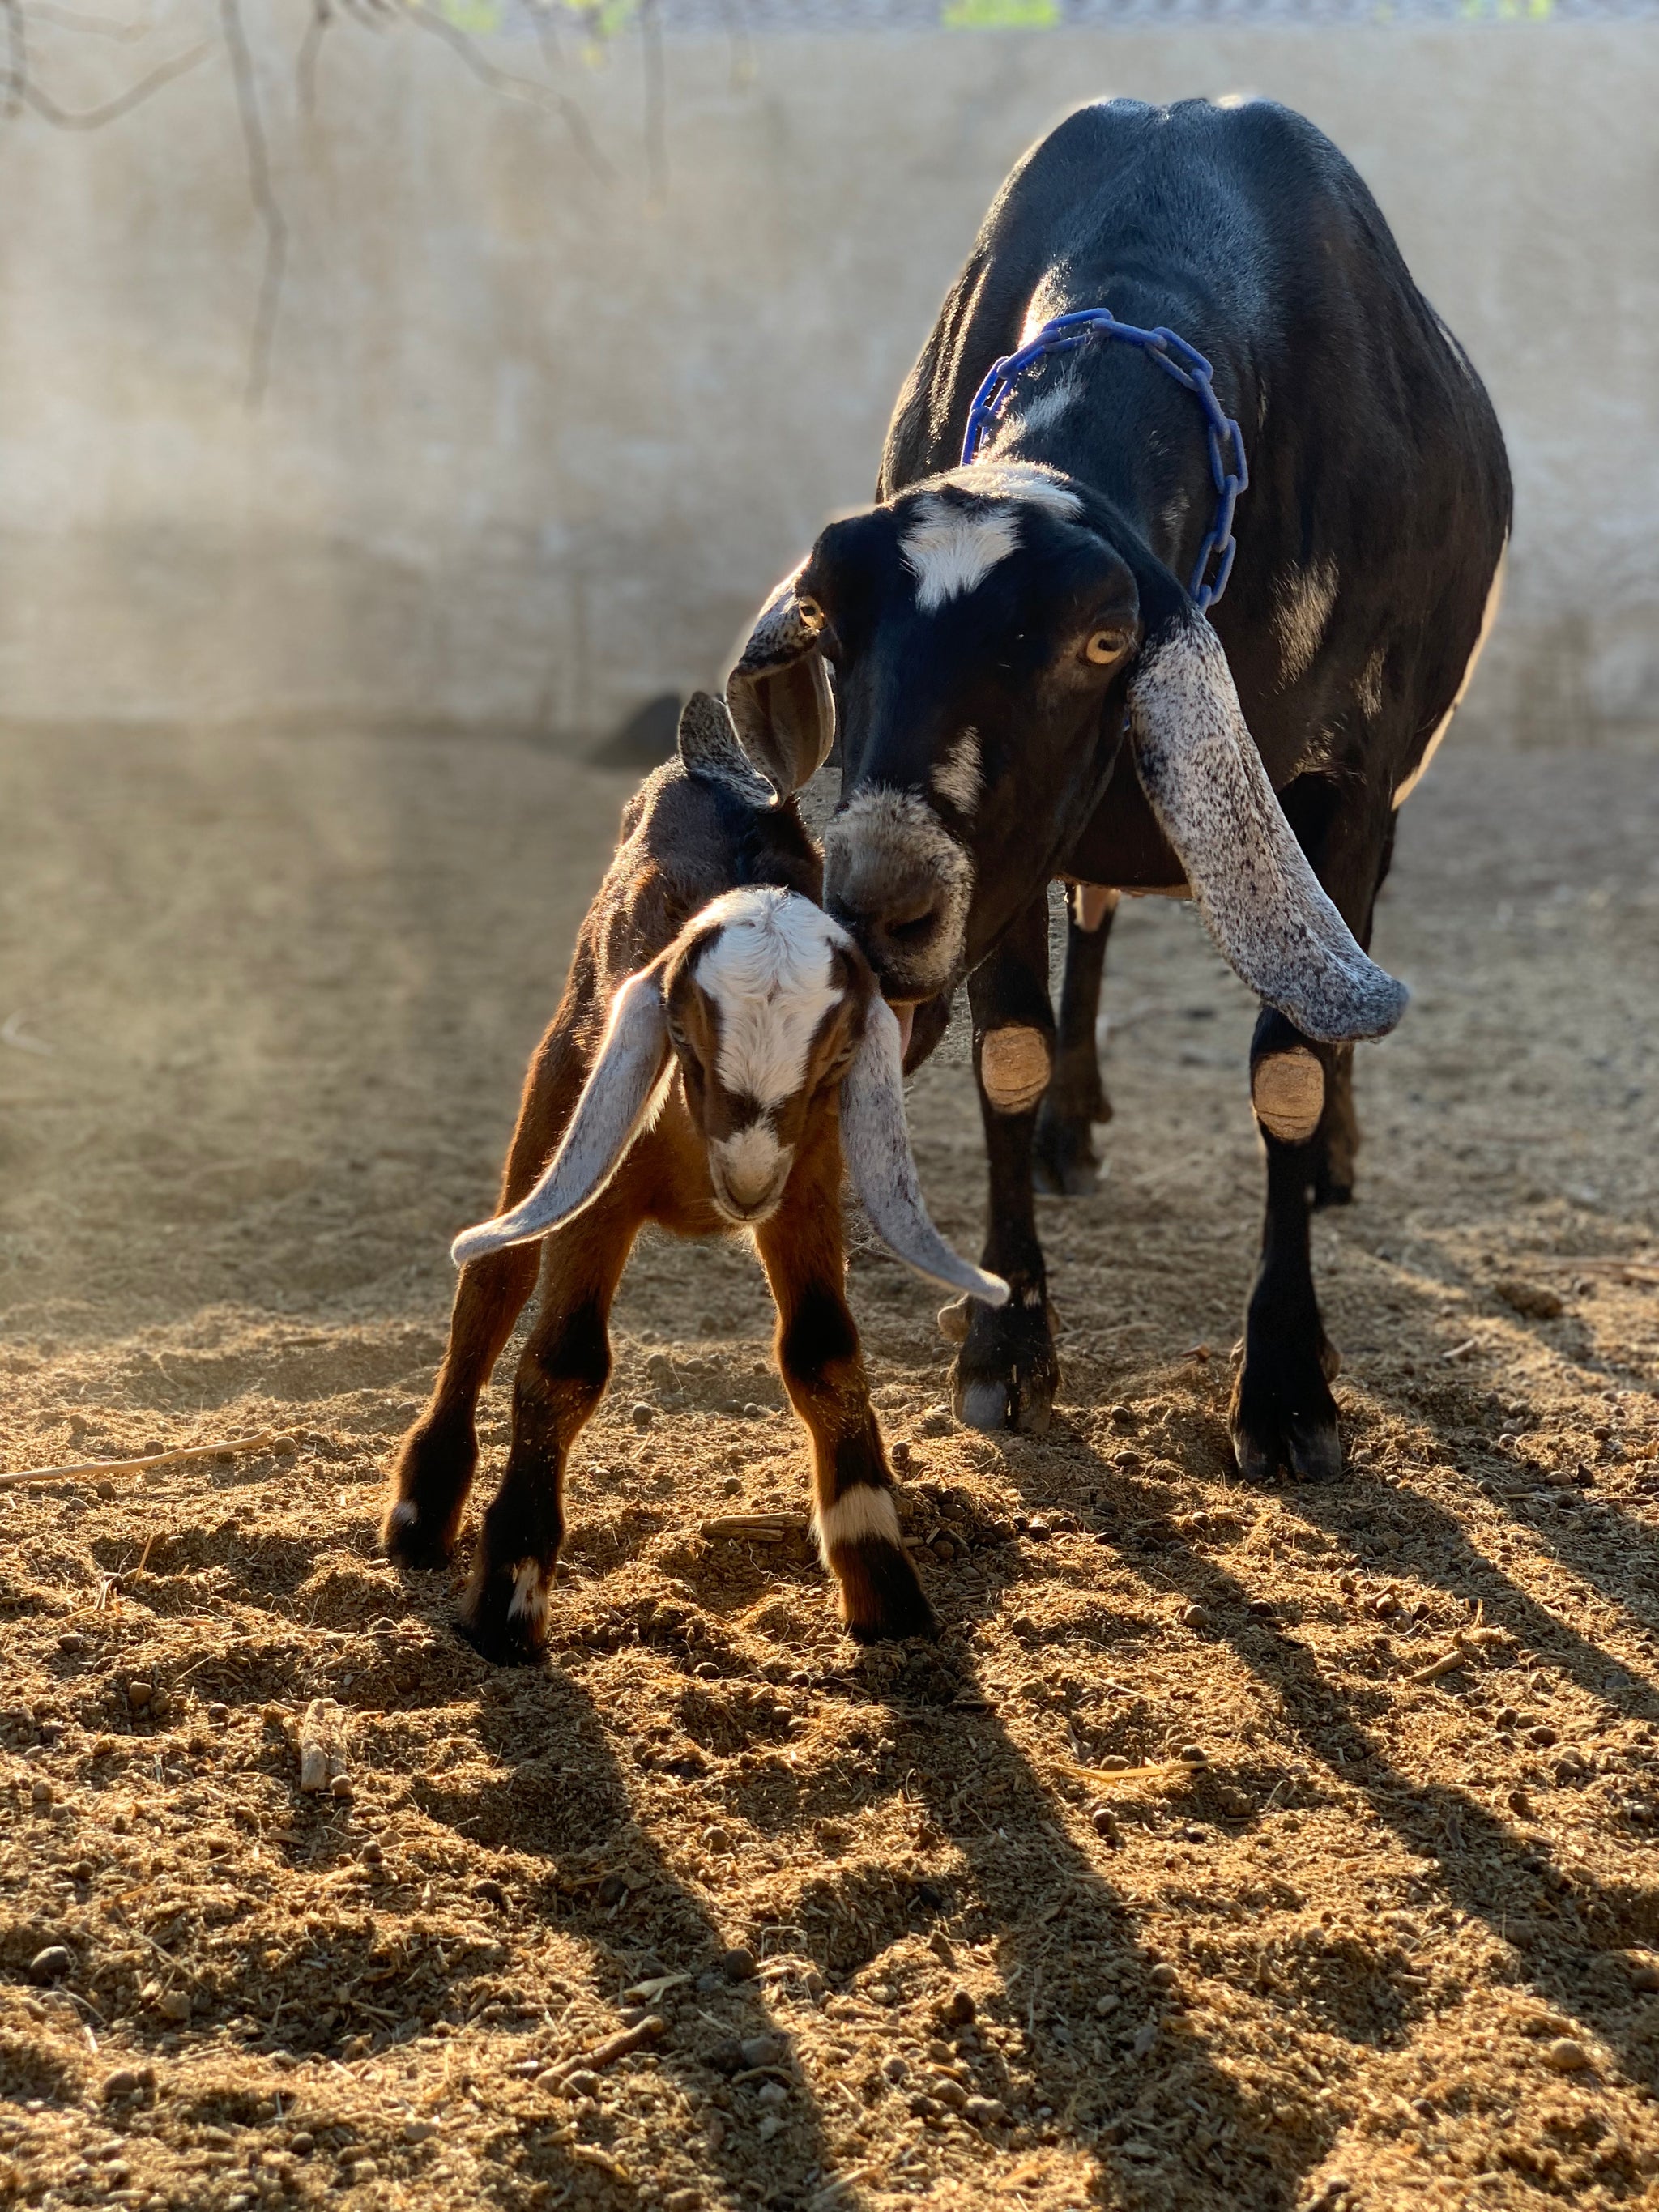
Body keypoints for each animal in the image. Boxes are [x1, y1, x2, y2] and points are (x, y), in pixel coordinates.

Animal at [382, 692, 1005, 1660]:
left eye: (836, 1057)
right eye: (684, 1037)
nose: (742, 1186)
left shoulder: (807, 1178)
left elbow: (824, 1354)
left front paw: (883, 1580)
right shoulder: (603, 1182)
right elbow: (563, 1361)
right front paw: (509, 1597)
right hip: (562, 1080)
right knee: (494, 1275)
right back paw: (422, 1509)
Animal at [722, 97, 1510, 1475]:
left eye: (1100, 641)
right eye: (835, 625)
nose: (882, 906)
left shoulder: (1346, 787)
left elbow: (1291, 1067)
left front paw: (1287, 1386)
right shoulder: (1006, 854)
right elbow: (1011, 1050)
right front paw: (1005, 1346)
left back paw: (1339, 1156)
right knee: (1091, 919)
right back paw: (1072, 1127)